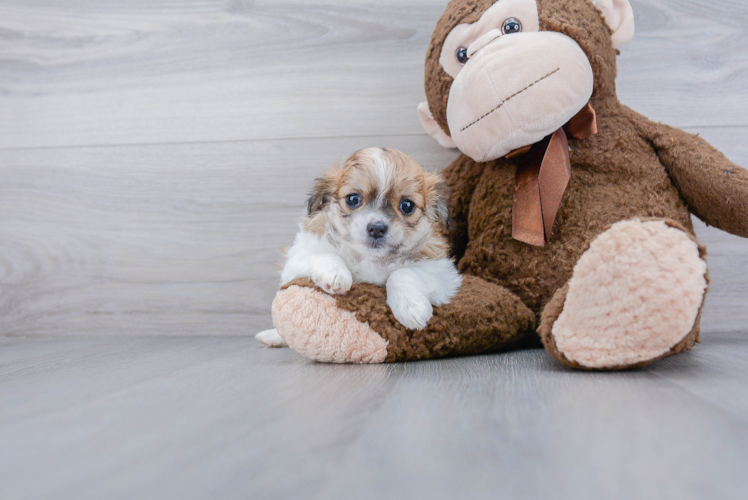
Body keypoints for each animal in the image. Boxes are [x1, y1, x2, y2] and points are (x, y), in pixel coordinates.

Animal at [260, 147, 464, 348]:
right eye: (352, 199)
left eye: (407, 206)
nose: (377, 228)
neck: (370, 258)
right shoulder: (297, 259)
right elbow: (324, 254)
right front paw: (335, 275)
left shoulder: (442, 271)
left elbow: (403, 273)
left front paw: (410, 307)